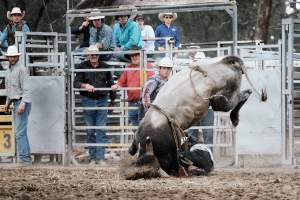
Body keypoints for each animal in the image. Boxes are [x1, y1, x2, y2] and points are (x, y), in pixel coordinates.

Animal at [122, 55, 268, 180]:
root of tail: (225, 61)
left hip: (226, 95)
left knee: (238, 98)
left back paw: (235, 117)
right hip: (225, 95)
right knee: (240, 96)